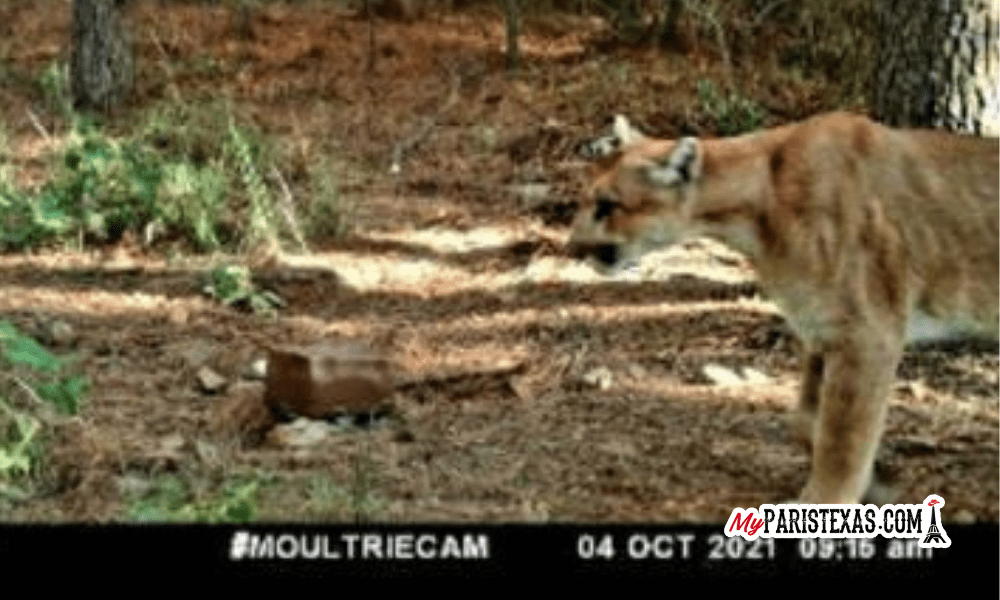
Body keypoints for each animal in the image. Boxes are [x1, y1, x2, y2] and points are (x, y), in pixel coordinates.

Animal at [568, 112, 999, 504]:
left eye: (607, 205)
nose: (571, 247)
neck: (761, 204)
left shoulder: (867, 336)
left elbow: (843, 436)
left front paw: (824, 504)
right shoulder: (821, 330)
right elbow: (807, 419)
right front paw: (878, 480)